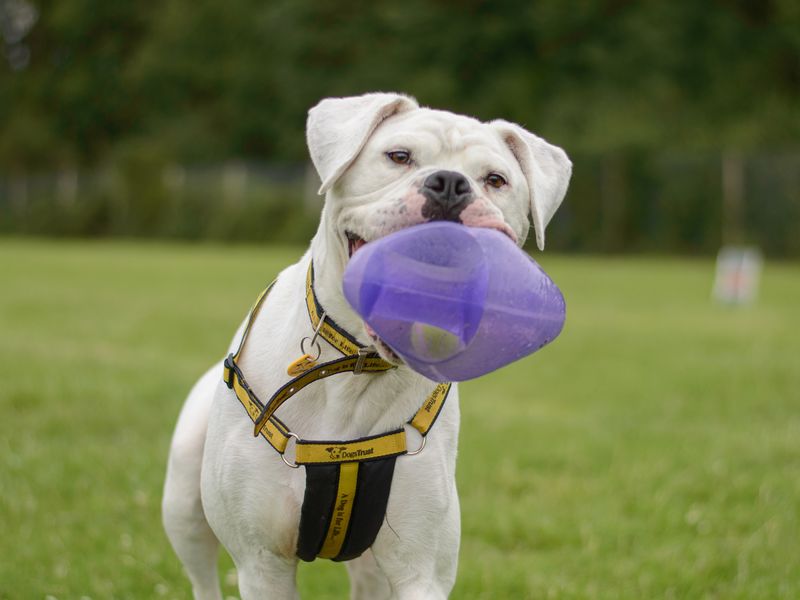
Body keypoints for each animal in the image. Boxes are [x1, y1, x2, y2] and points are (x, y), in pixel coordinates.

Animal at [162, 92, 572, 600]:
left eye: (495, 180)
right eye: (398, 156)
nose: (450, 184)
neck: (357, 365)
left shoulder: (421, 569)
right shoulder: (262, 563)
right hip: (183, 503)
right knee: (201, 572)